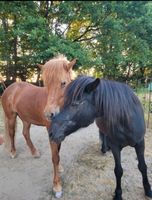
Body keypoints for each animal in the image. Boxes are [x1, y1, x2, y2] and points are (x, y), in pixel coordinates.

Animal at [1, 54, 76, 197]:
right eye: (46, 83)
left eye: (63, 83)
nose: (49, 114)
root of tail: (10, 88)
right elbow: (54, 157)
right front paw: (57, 186)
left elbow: (58, 152)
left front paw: (59, 168)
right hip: (11, 117)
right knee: (12, 133)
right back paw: (13, 152)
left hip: (26, 118)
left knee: (25, 133)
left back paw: (34, 152)